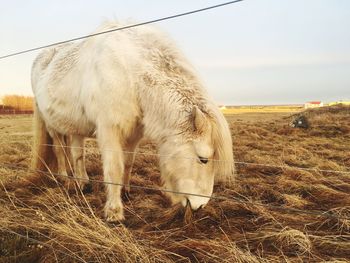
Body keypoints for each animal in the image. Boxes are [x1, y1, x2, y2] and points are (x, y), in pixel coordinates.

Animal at [31, 21, 234, 223]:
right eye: (203, 159)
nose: (199, 206)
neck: (129, 73)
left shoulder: (134, 134)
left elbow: (128, 163)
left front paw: (126, 192)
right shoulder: (109, 130)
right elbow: (114, 168)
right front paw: (114, 212)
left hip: (75, 129)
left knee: (77, 154)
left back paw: (83, 184)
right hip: (51, 126)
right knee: (60, 151)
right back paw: (65, 179)